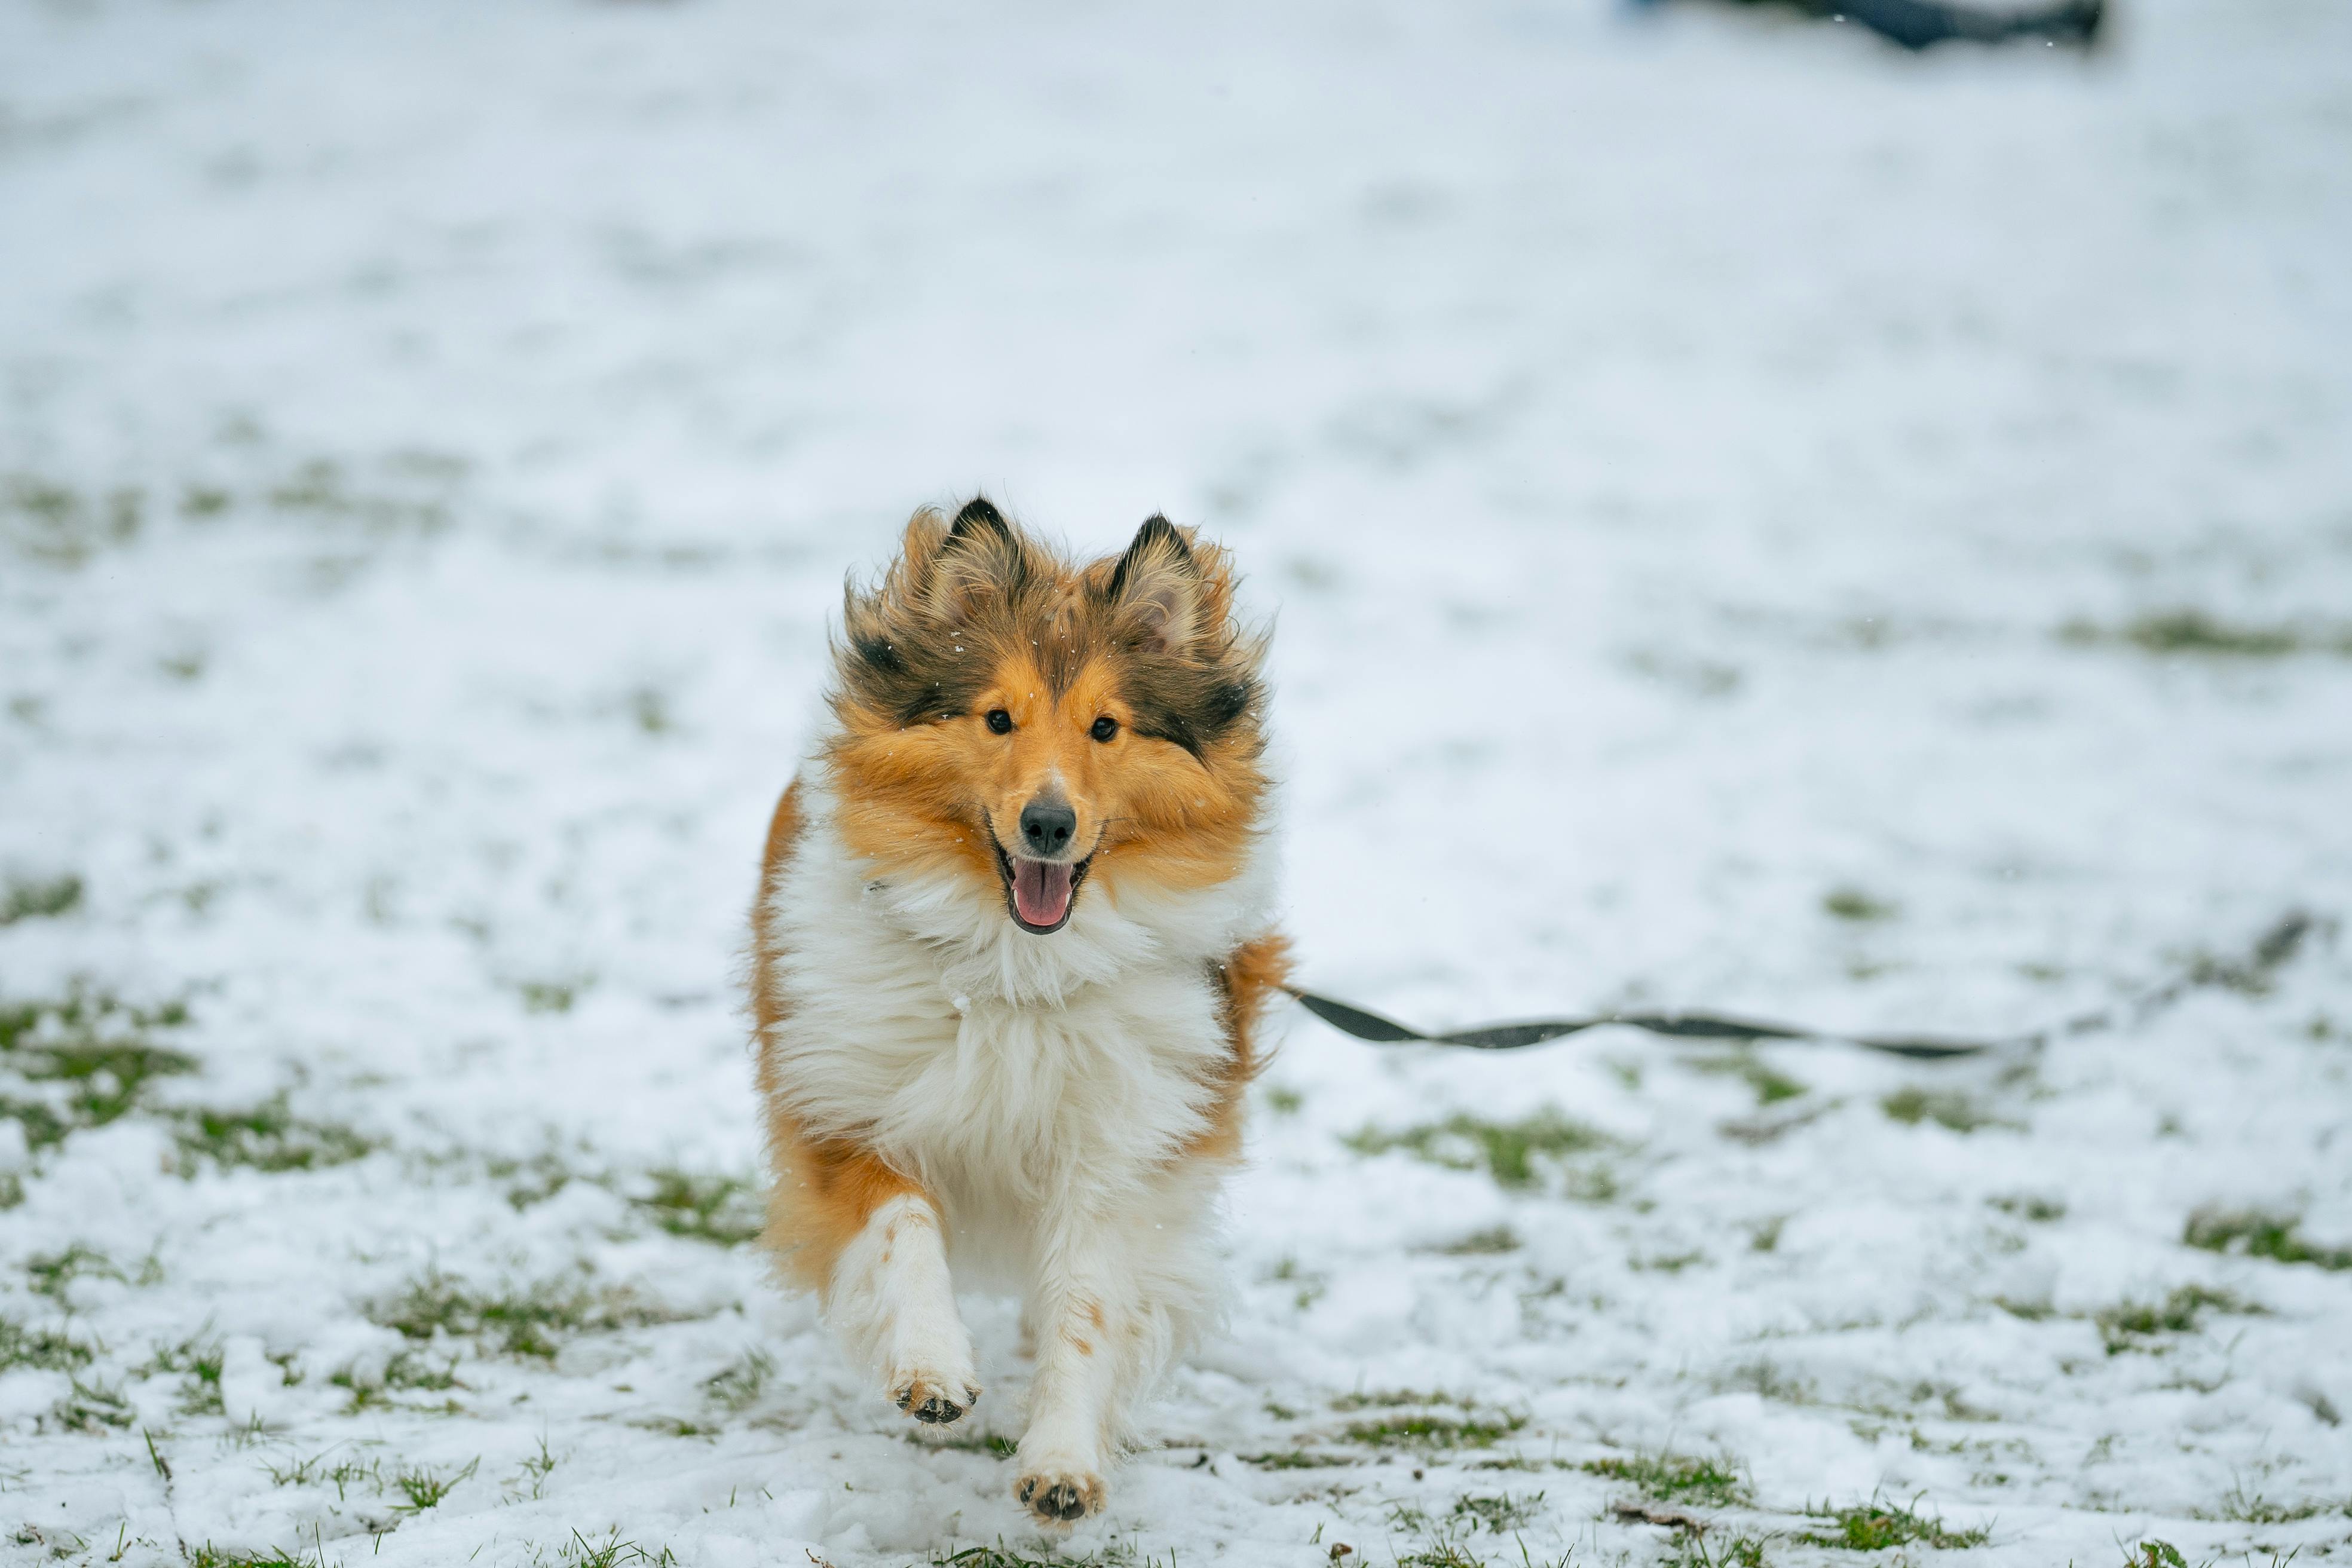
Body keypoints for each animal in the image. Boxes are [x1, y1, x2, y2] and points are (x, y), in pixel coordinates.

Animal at [748, 505, 1288, 1532]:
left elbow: (1086, 1309)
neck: (1017, 972)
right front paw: (932, 1370)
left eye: (1107, 728)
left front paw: (1063, 1464)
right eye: (998, 717)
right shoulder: (845, 1106)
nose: (1047, 825)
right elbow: (904, 1226)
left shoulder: (1119, 1153)